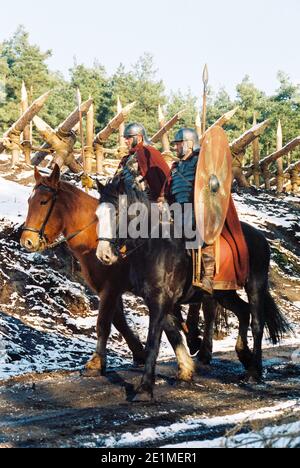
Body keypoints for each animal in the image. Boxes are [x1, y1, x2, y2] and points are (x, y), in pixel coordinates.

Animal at [96, 177, 290, 400]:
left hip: (255, 284)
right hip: (224, 293)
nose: (103, 255)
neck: (154, 247)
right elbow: (172, 333)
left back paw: (254, 372)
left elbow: (153, 340)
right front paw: (186, 370)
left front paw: (145, 388)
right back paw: (244, 355)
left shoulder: (160, 300)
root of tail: (260, 236)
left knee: (257, 323)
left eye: (116, 213)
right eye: (98, 215)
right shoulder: (161, 301)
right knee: (243, 311)